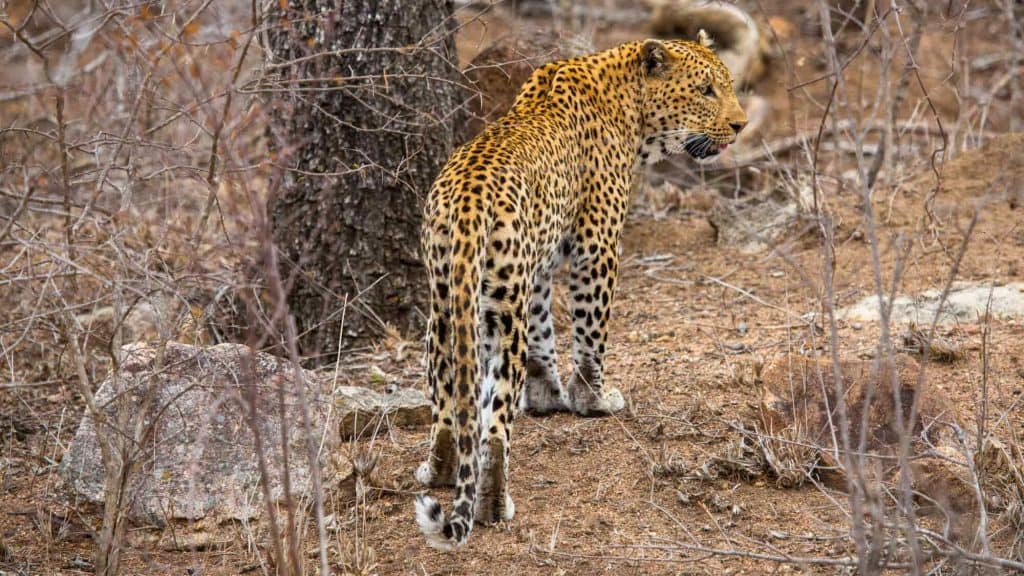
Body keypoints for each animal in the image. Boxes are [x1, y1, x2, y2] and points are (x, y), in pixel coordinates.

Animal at [413, 33, 747, 550]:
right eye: (706, 90)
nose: (740, 124)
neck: (630, 107)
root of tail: (468, 202)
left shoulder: (538, 269)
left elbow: (544, 335)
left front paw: (548, 395)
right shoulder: (597, 246)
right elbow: (591, 334)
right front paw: (593, 399)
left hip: (449, 305)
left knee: (448, 402)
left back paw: (440, 471)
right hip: (497, 319)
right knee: (494, 425)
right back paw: (494, 505)